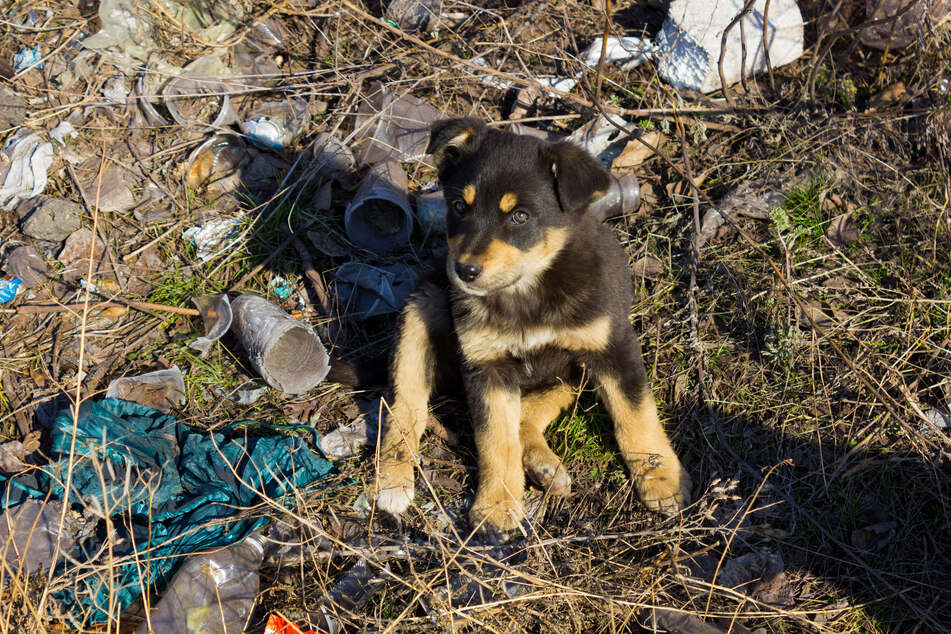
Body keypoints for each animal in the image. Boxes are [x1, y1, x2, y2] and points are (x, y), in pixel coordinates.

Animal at [372, 116, 692, 532]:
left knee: (526, 415)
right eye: (459, 206)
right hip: (422, 305)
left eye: (520, 217)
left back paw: (544, 467)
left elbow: (636, 417)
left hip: (570, 373)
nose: (464, 272)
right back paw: (393, 481)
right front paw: (497, 506)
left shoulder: (611, 347)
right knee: (406, 407)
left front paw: (661, 479)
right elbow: (496, 440)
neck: (526, 292)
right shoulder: (486, 366)